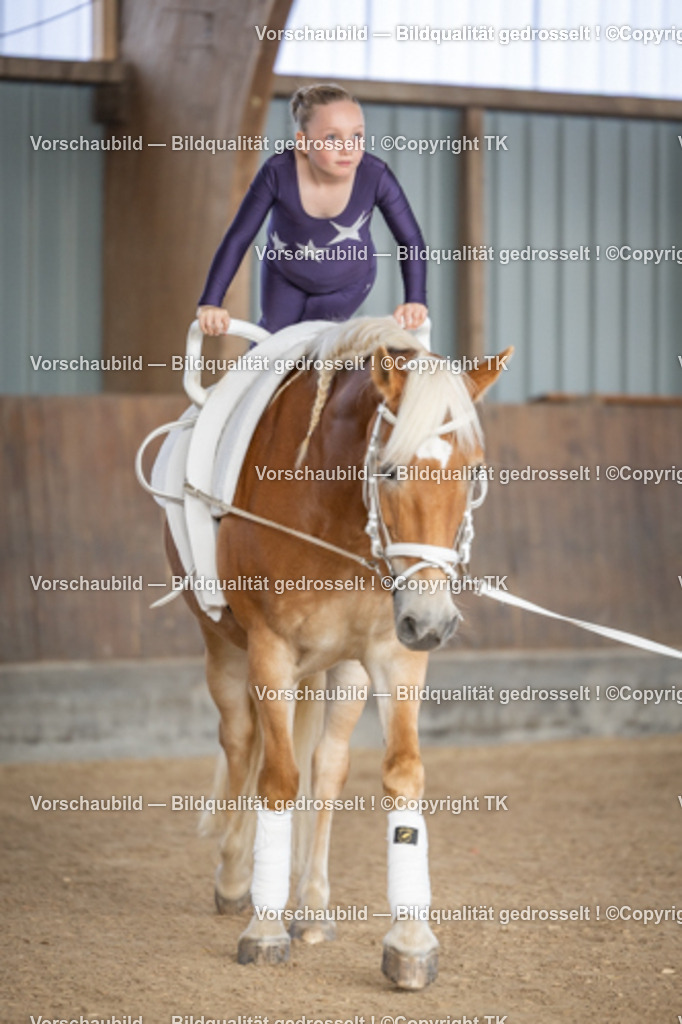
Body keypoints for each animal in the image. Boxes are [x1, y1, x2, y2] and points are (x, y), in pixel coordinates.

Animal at [165, 316, 509, 989]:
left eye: (474, 474)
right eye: (390, 471)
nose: (434, 622)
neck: (334, 517)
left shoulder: (395, 652)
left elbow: (401, 776)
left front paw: (409, 943)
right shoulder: (270, 651)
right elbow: (276, 778)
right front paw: (264, 929)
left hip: (346, 669)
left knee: (327, 768)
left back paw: (314, 908)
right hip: (224, 647)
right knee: (242, 741)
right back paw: (237, 878)